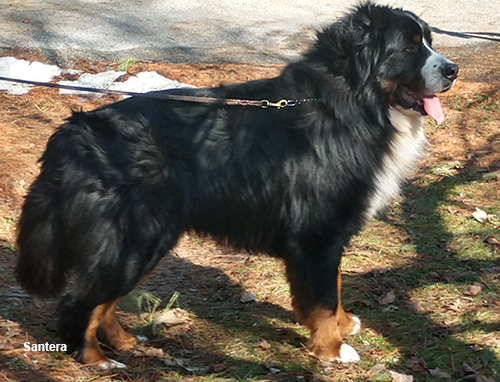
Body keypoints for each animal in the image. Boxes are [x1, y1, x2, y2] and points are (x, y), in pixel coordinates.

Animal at [15, 1, 458, 368]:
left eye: (429, 42)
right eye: (410, 48)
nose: (452, 69)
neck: (351, 104)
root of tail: (74, 131)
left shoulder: (328, 234)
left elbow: (331, 286)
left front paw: (341, 323)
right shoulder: (318, 232)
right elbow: (322, 295)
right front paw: (333, 348)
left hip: (144, 242)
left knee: (102, 302)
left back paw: (124, 342)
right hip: (133, 239)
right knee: (80, 302)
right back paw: (95, 359)